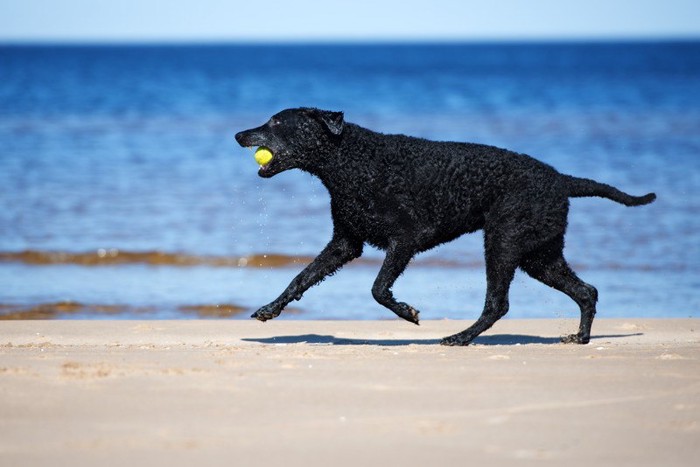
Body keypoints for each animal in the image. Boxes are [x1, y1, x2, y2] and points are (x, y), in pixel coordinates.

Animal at [237, 108, 656, 346]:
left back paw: (460, 337)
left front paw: (407, 312)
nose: (239, 134)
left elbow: (378, 289)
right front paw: (270, 309)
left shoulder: (405, 239)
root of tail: (561, 179)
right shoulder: (345, 243)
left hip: (503, 243)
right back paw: (580, 338)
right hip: (540, 254)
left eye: (276, 122)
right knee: (587, 291)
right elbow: (301, 278)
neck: (352, 163)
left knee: (498, 304)